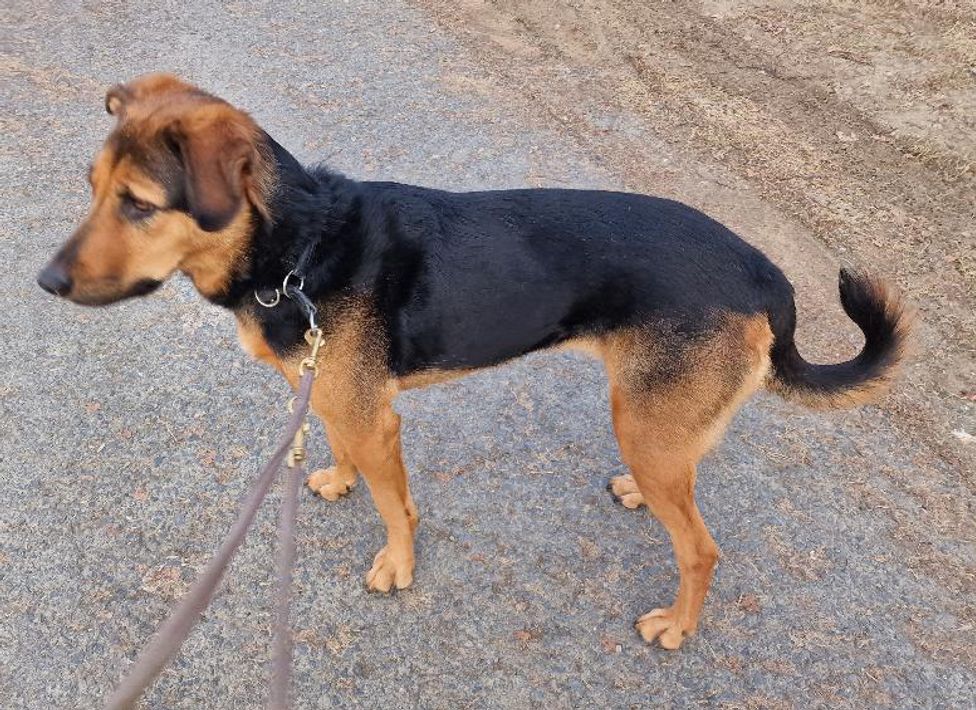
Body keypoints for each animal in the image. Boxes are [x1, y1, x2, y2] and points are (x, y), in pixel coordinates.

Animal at [37, 74, 910, 649]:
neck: (298, 248)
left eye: (140, 204)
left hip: (644, 424)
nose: (45, 282)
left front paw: (397, 566)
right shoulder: (334, 396)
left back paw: (677, 626)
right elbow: (341, 451)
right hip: (658, 424)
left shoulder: (376, 419)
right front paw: (338, 480)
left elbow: (396, 507)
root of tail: (765, 274)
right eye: (92, 187)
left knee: (701, 548)